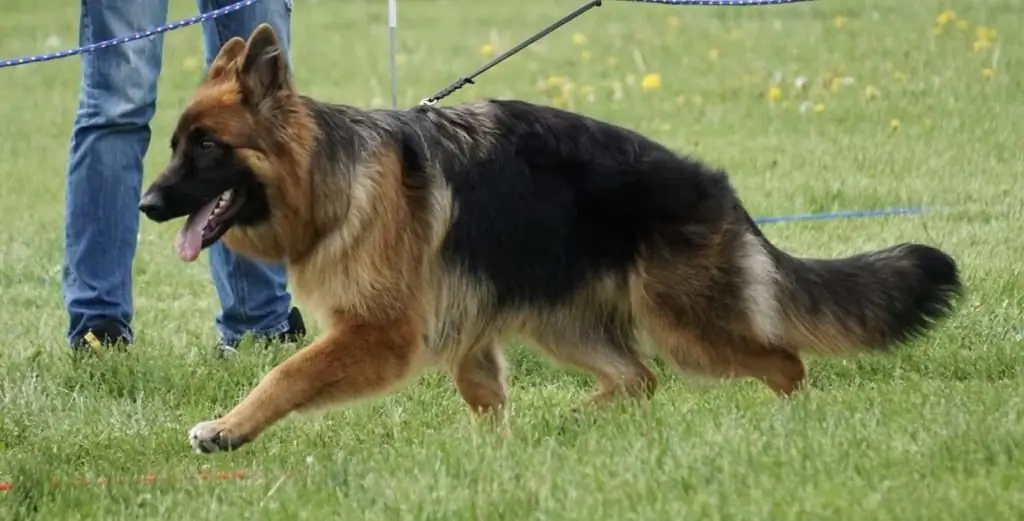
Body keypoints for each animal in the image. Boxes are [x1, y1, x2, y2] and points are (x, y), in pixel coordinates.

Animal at [140, 24, 962, 450]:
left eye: (206, 147)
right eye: (174, 144)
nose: (146, 204)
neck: (330, 174)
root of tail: (716, 188)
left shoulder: (380, 334)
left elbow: (287, 375)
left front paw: (228, 428)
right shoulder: (470, 332)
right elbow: (484, 396)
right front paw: (494, 457)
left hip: (687, 327)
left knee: (783, 361)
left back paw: (794, 424)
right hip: (560, 321)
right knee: (637, 379)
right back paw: (575, 422)